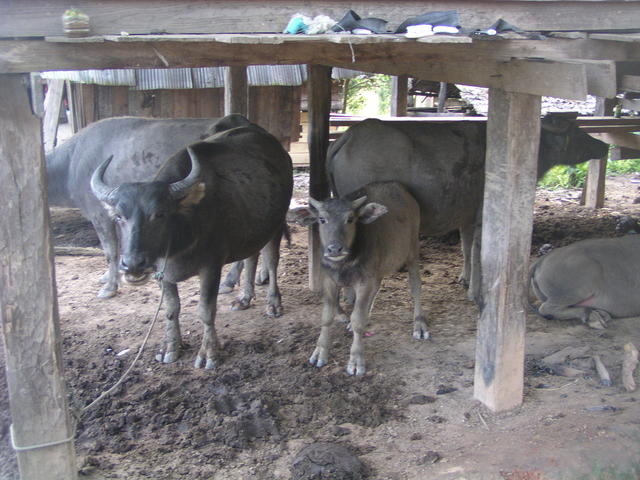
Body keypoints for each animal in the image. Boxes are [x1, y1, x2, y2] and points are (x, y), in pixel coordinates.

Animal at [90, 116, 293, 369]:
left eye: (159, 214)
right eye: (119, 216)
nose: (133, 264)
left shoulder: (211, 267)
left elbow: (206, 310)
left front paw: (209, 354)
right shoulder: (162, 273)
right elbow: (170, 309)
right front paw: (170, 348)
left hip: (276, 223)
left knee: (272, 260)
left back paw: (274, 303)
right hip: (254, 228)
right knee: (251, 257)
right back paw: (244, 298)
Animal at [288, 181, 426, 376]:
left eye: (350, 219)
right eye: (322, 219)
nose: (334, 249)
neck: (344, 264)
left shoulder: (364, 281)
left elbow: (358, 320)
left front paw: (356, 360)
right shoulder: (330, 280)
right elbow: (327, 316)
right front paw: (320, 351)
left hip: (412, 251)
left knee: (415, 286)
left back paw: (419, 324)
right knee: (377, 288)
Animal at [327, 113, 609, 302]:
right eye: (576, 131)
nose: (604, 145)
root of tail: (349, 135)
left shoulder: (466, 215)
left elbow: (465, 245)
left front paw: (465, 278)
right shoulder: (483, 213)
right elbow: (478, 249)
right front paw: (476, 290)